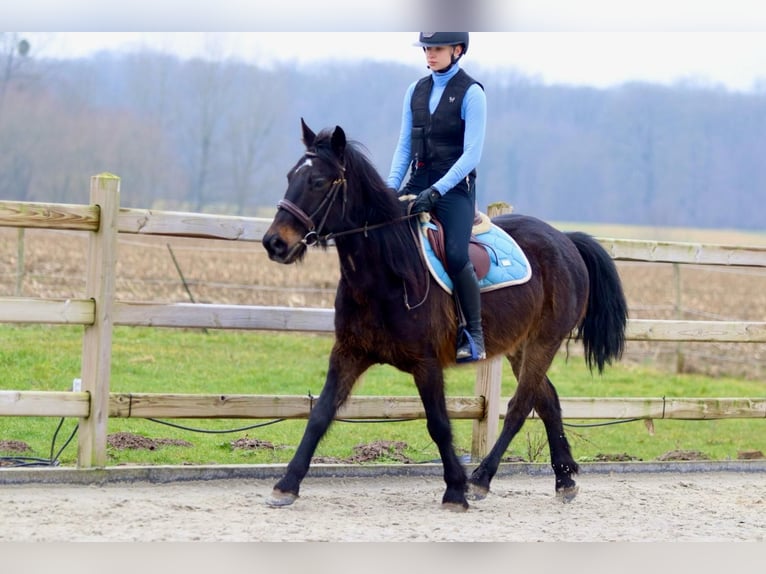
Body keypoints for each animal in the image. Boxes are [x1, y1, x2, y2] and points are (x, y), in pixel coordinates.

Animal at [260, 119, 628, 510]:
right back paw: (563, 479)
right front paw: (287, 484)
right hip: (520, 346)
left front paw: (455, 488)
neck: (388, 274)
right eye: (290, 176)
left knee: (520, 405)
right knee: (548, 401)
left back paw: (482, 478)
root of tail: (565, 239)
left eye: (318, 181)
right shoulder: (349, 352)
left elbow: (438, 423)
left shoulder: (426, 362)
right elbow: (320, 414)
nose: (275, 243)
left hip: (545, 341)